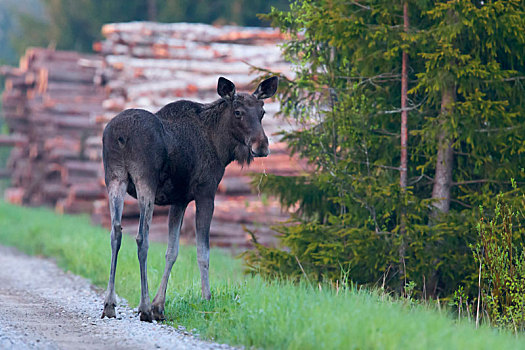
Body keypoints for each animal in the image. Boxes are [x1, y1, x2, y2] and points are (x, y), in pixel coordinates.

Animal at [99, 76, 278, 320]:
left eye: (262, 111)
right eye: (238, 112)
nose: (262, 146)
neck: (221, 147)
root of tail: (120, 136)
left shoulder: (179, 200)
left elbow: (172, 251)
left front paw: (160, 305)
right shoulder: (206, 193)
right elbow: (203, 252)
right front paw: (206, 298)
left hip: (114, 178)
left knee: (115, 232)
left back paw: (109, 303)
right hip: (145, 180)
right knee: (141, 237)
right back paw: (143, 307)